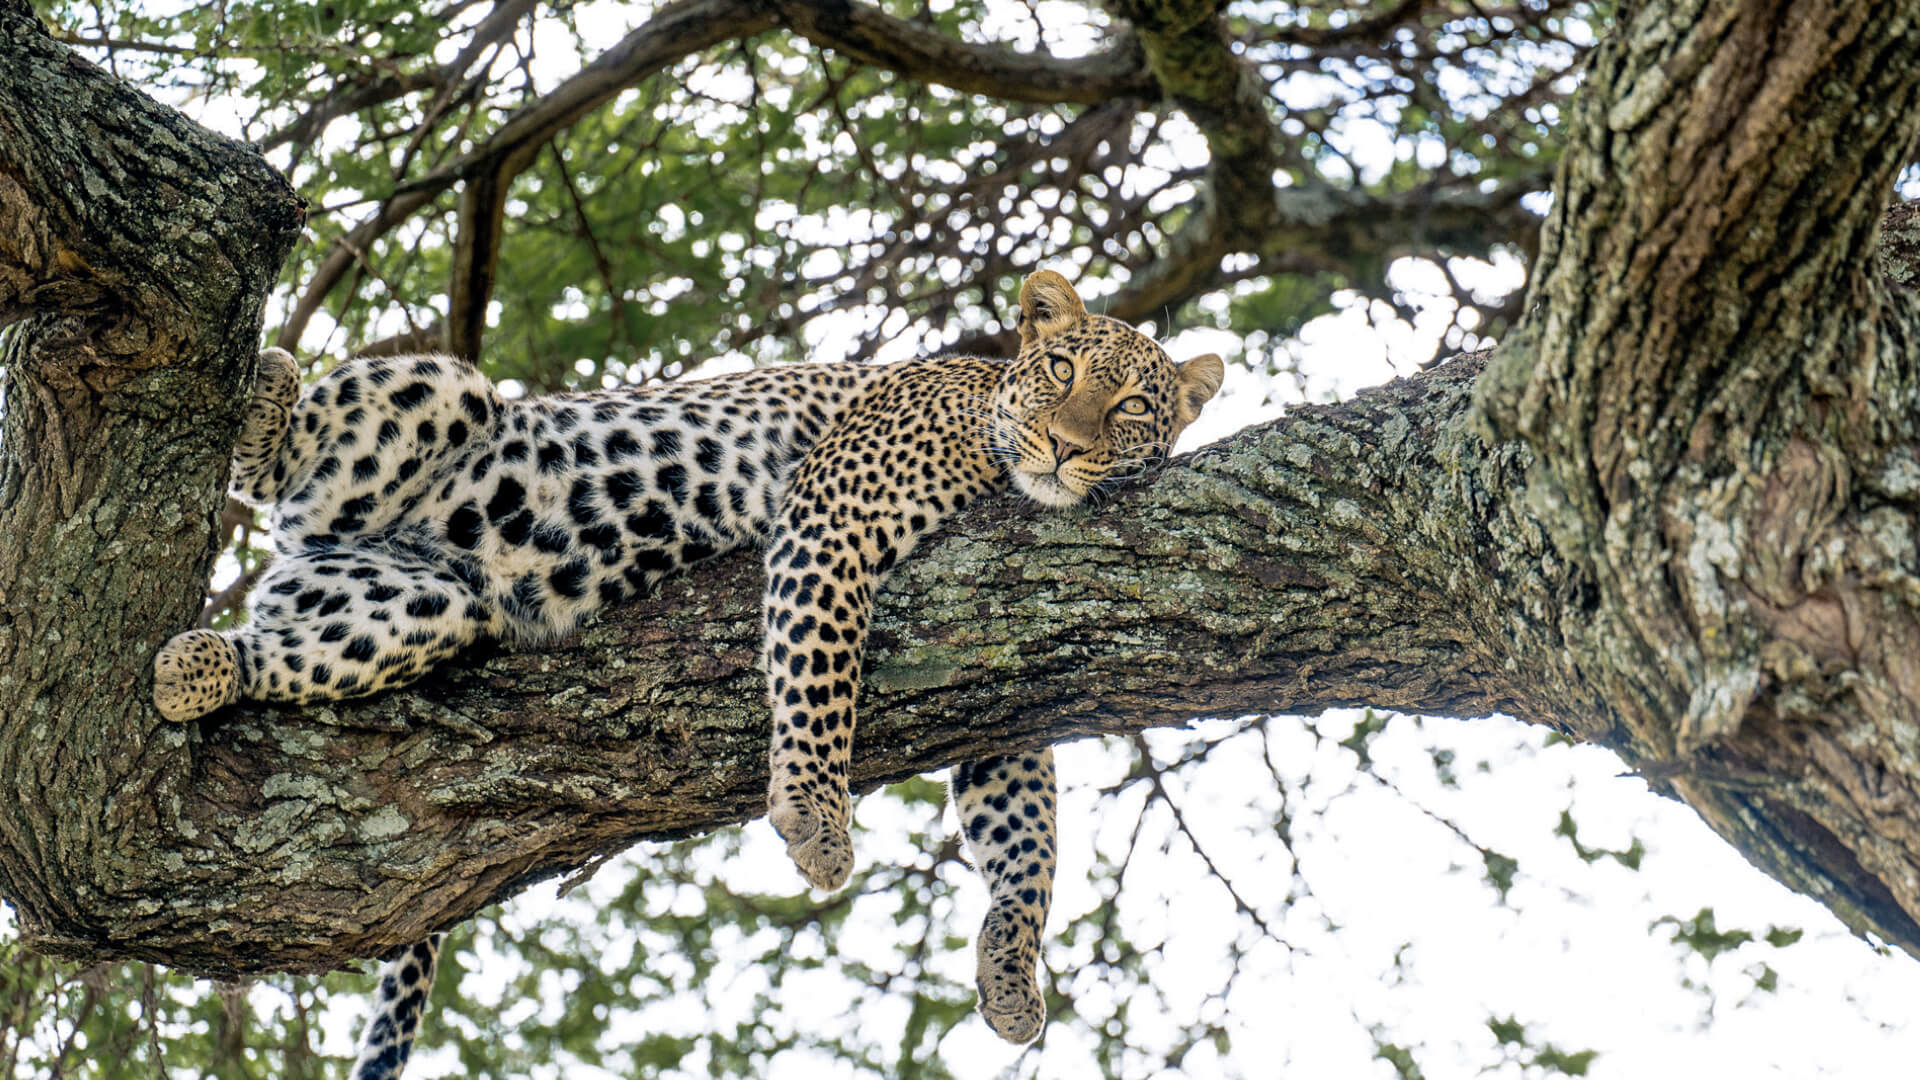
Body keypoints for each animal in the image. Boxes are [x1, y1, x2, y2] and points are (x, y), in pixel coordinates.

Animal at [151, 269, 1225, 1079]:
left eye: (1132, 405)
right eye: (1060, 368)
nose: (1066, 448)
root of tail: (329, 544)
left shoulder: (1007, 661)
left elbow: (1024, 835)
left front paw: (1012, 975)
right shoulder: (832, 513)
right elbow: (821, 669)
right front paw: (816, 820)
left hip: (417, 602)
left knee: (284, 647)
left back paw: (201, 665)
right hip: (434, 399)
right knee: (280, 461)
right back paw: (266, 394)